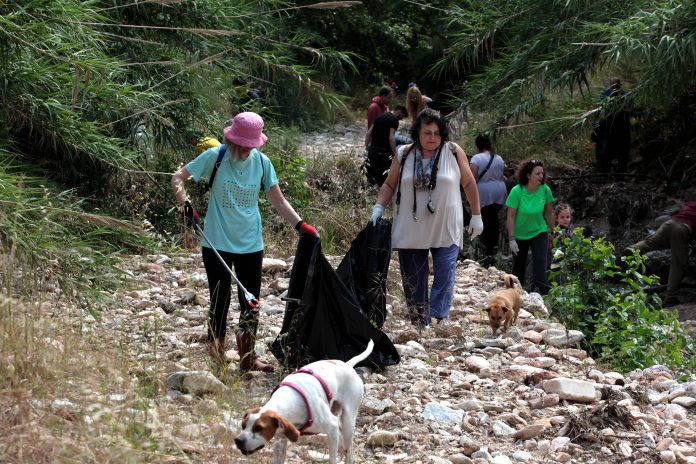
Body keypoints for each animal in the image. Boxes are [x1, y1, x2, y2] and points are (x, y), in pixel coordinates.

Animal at [235, 338, 376, 464]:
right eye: (243, 425)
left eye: (258, 428)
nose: (238, 440)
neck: (291, 403)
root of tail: (347, 365)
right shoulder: (281, 439)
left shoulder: (332, 427)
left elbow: (332, 459)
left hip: (348, 421)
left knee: (349, 451)